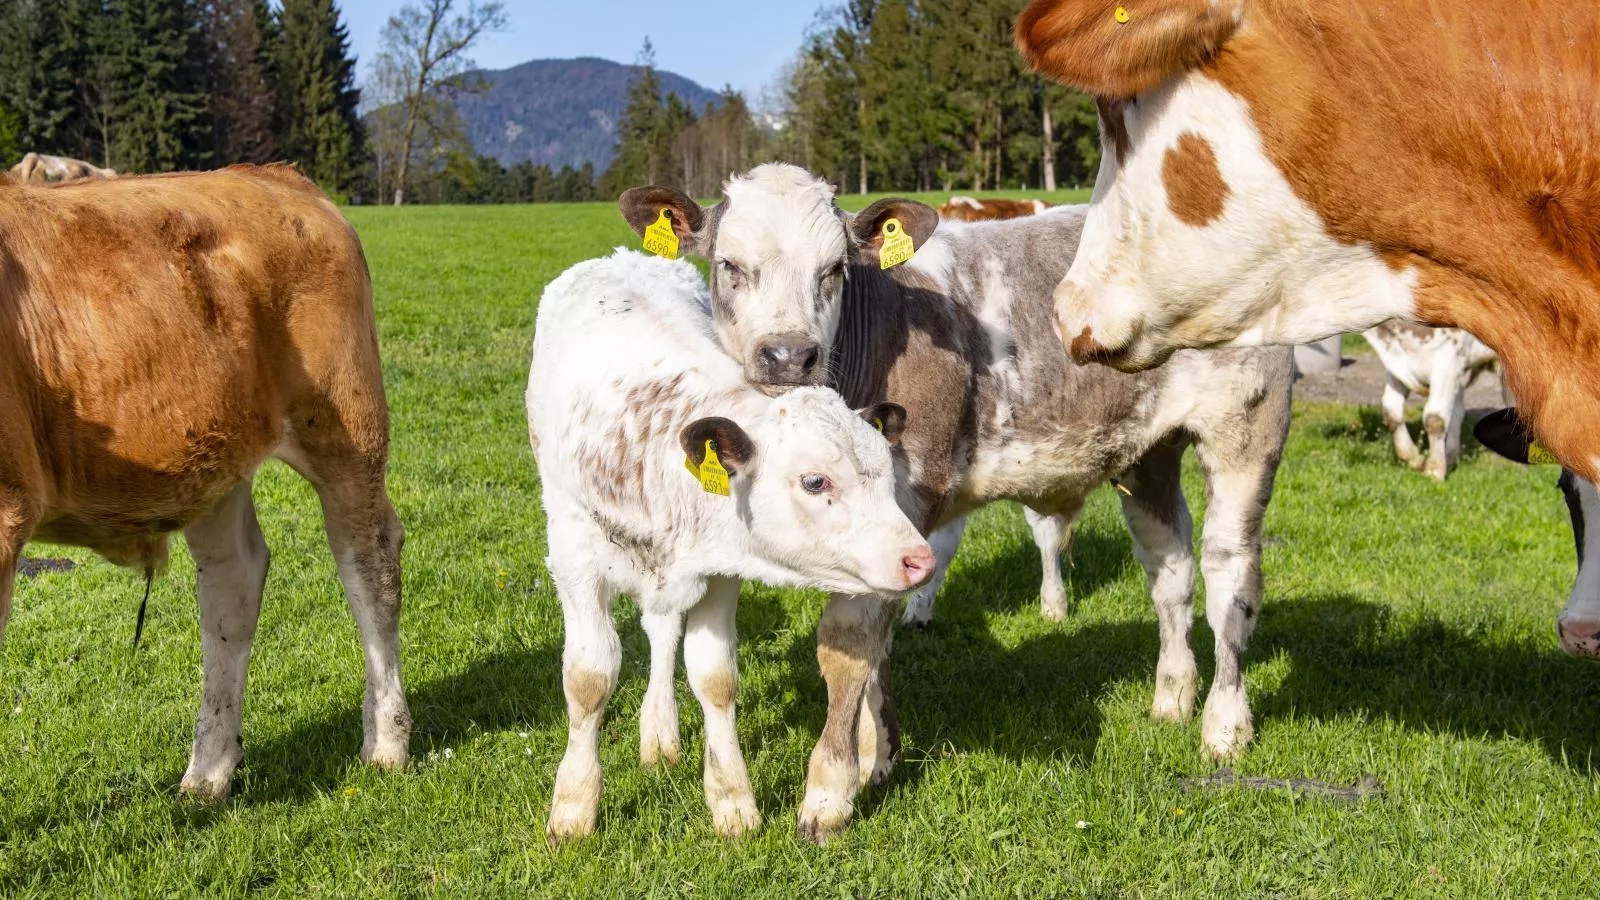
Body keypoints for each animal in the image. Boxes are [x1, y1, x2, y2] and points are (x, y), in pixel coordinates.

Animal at [0, 164, 409, 794]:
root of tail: (278, 175)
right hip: (213, 458)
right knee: (232, 583)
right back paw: (209, 773)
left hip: (347, 429)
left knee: (371, 567)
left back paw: (386, 744)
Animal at [617, 162, 1292, 839]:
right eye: (729, 264)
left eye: (834, 269)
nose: (788, 355)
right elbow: (879, 641)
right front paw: (878, 755)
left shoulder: (908, 489)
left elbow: (849, 642)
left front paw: (830, 792)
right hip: (1147, 454)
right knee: (1169, 570)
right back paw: (1173, 696)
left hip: (1245, 430)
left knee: (1229, 575)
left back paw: (1224, 724)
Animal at [1363, 320, 1497, 480]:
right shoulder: (1398, 363)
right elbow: (1391, 410)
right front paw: (1414, 458)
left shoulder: (1448, 360)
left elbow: (1434, 418)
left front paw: (1434, 470)